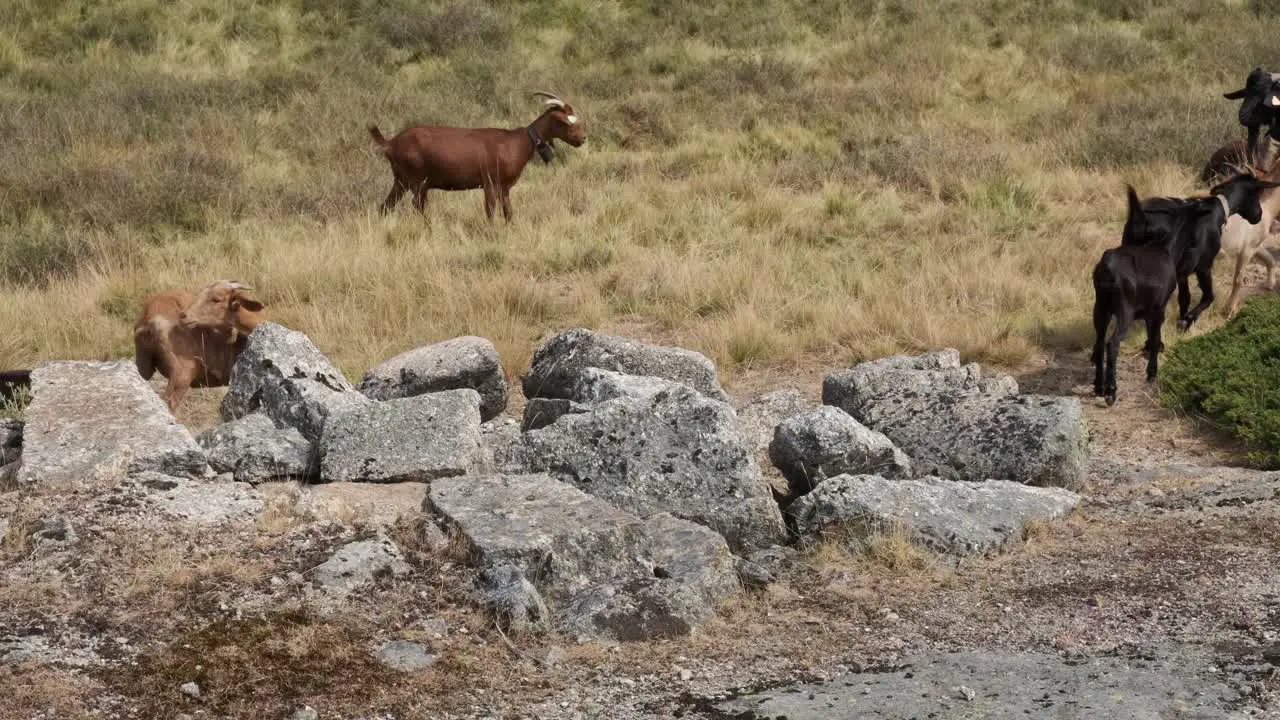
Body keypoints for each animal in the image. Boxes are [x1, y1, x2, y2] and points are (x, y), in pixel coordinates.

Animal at [134, 278, 264, 409]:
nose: (184, 315)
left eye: (216, 299)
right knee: (169, 402)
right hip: (181, 374)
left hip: (143, 364)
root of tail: (150, 320)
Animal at [366, 90, 586, 222]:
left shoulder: (504, 188)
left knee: (385, 207)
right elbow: (490, 212)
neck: (518, 140)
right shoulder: (489, 183)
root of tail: (391, 143)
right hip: (418, 183)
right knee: (417, 208)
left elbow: (508, 213)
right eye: (566, 121)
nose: (582, 138)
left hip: (401, 182)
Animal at [1090, 170, 1280, 399]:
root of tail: (1141, 217)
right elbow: (1208, 296)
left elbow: (1184, 298)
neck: (1218, 209)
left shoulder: (1181, 272)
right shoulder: (1204, 266)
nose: (1258, 216)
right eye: (1255, 194)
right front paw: (1187, 321)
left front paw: (1180, 323)